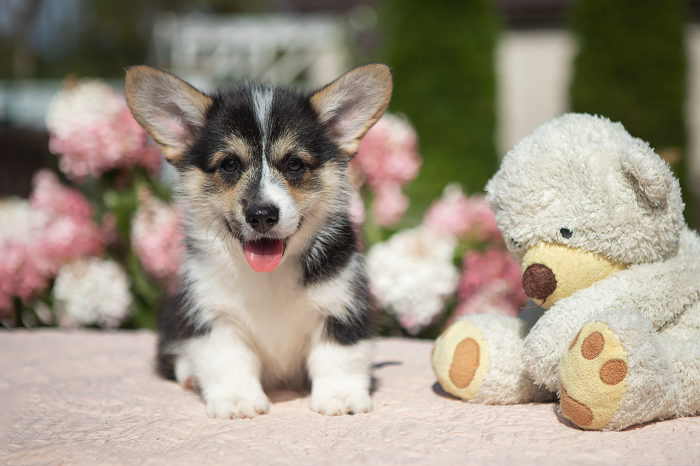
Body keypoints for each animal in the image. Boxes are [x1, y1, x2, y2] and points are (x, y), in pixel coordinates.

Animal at [123, 64, 392, 418]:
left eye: (294, 164)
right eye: (229, 164)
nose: (262, 214)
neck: (269, 274)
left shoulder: (342, 303)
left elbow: (339, 355)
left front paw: (341, 396)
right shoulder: (212, 312)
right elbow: (226, 359)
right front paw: (237, 400)